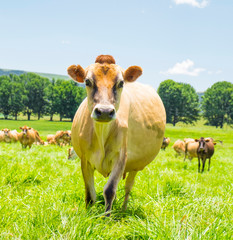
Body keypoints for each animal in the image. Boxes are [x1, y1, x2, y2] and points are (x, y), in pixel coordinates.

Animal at [67, 54, 166, 216]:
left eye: (121, 83)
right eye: (87, 81)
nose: (104, 111)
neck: (101, 133)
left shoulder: (121, 158)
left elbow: (109, 190)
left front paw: (106, 217)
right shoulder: (85, 159)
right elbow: (90, 194)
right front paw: (87, 216)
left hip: (135, 166)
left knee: (128, 187)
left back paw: (123, 210)